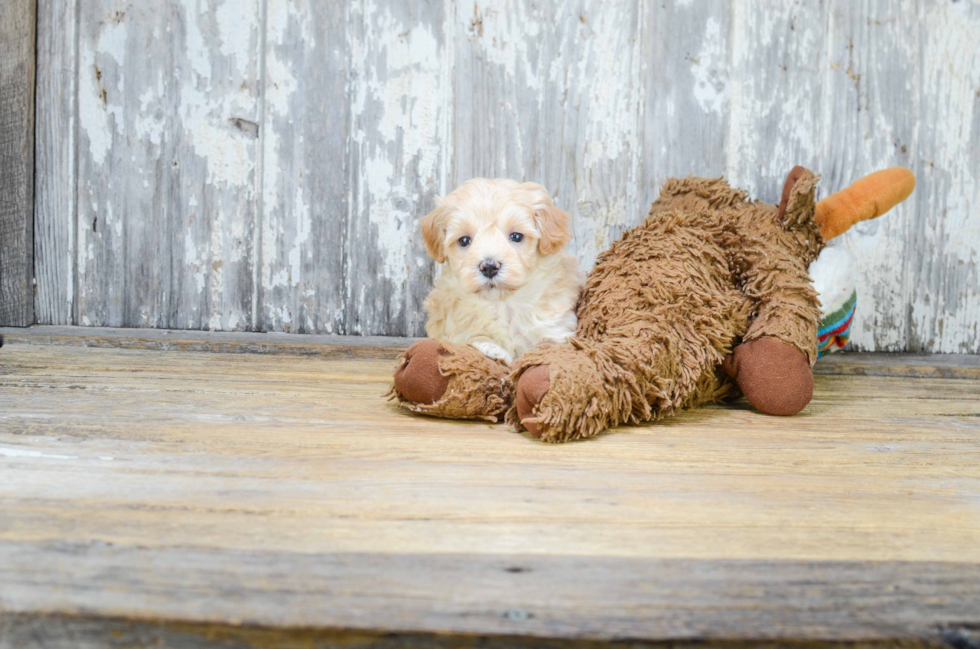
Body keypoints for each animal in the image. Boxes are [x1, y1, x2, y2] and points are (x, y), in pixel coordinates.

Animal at [422, 177, 580, 364]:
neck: (504, 303)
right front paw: (493, 349)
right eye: (464, 240)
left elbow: (547, 345)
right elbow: (472, 336)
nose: (489, 267)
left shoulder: (555, 327)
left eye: (516, 236)